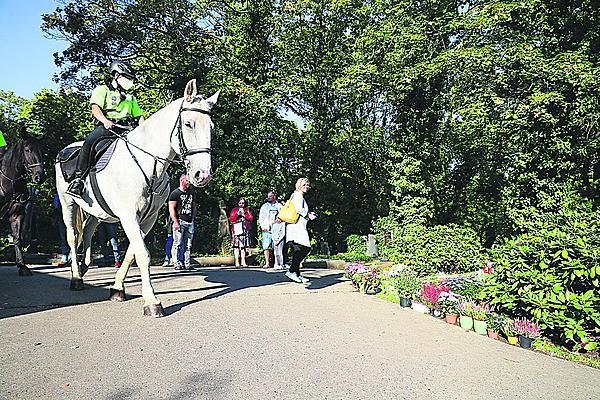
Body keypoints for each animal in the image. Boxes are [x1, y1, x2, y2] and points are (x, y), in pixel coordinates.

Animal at [0, 140, 45, 276]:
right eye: (28, 150)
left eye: (41, 150)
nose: (39, 177)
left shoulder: (16, 215)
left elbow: (17, 239)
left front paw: (22, 266)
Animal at [56, 79, 218, 318]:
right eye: (188, 124)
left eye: (211, 127)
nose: (202, 175)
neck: (147, 164)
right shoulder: (129, 216)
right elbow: (142, 254)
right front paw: (152, 302)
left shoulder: (147, 218)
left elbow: (132, 253)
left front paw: (117, 288)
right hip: (68, 204)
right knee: (73, 235)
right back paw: (76, 277)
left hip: (97, 211)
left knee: (88, 230)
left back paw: (85, 266)